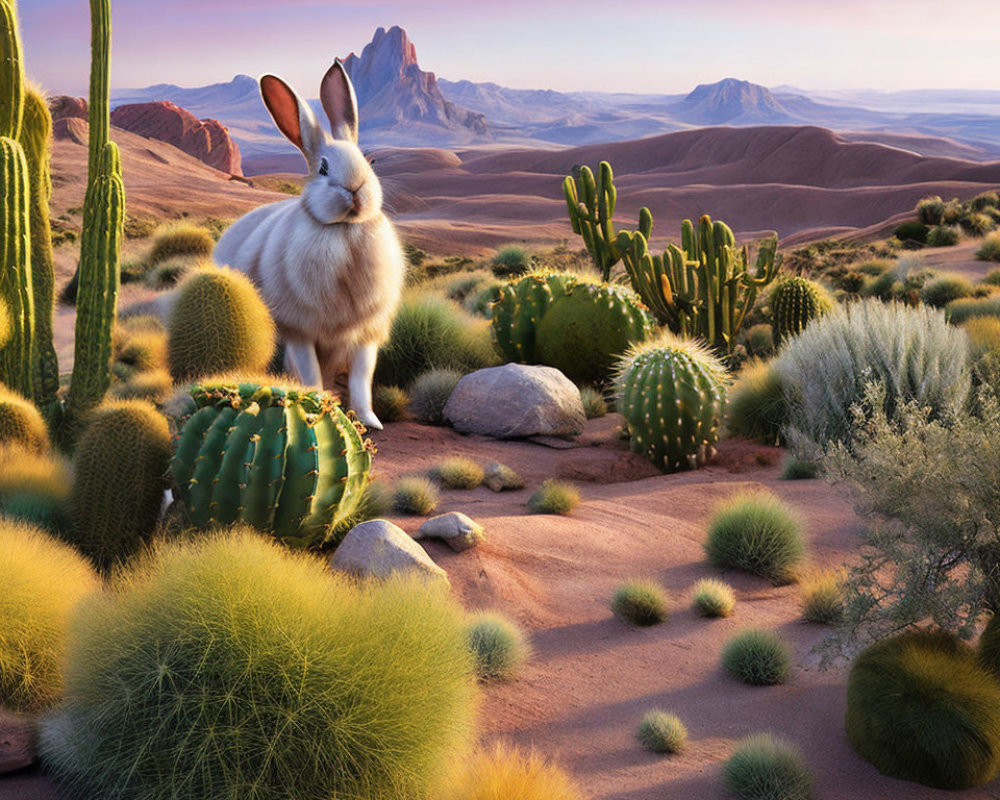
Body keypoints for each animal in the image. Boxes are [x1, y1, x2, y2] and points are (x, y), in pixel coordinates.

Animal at [214, 61, 402, 432]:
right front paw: (317, 407)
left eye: (370, 162)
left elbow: (362, 378)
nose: (355, 189)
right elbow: (310, 372)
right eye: (323, 168)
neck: (343, 231)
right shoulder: (300, 330)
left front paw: (371, 422)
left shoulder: (365, 336)